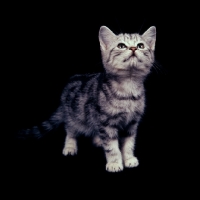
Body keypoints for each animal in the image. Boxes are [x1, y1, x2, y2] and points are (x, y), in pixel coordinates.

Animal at [18, 25, 156, 172]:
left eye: (141, 45)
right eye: (121, 46)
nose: (134, 48)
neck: (128, 89)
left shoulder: (132, 122)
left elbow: (129, 143)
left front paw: (129, 159)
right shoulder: (106, 122)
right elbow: (112, 146)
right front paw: (114, 163)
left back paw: (98, 140)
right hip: (74, 116)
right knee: (70, 130)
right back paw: (70, 146)